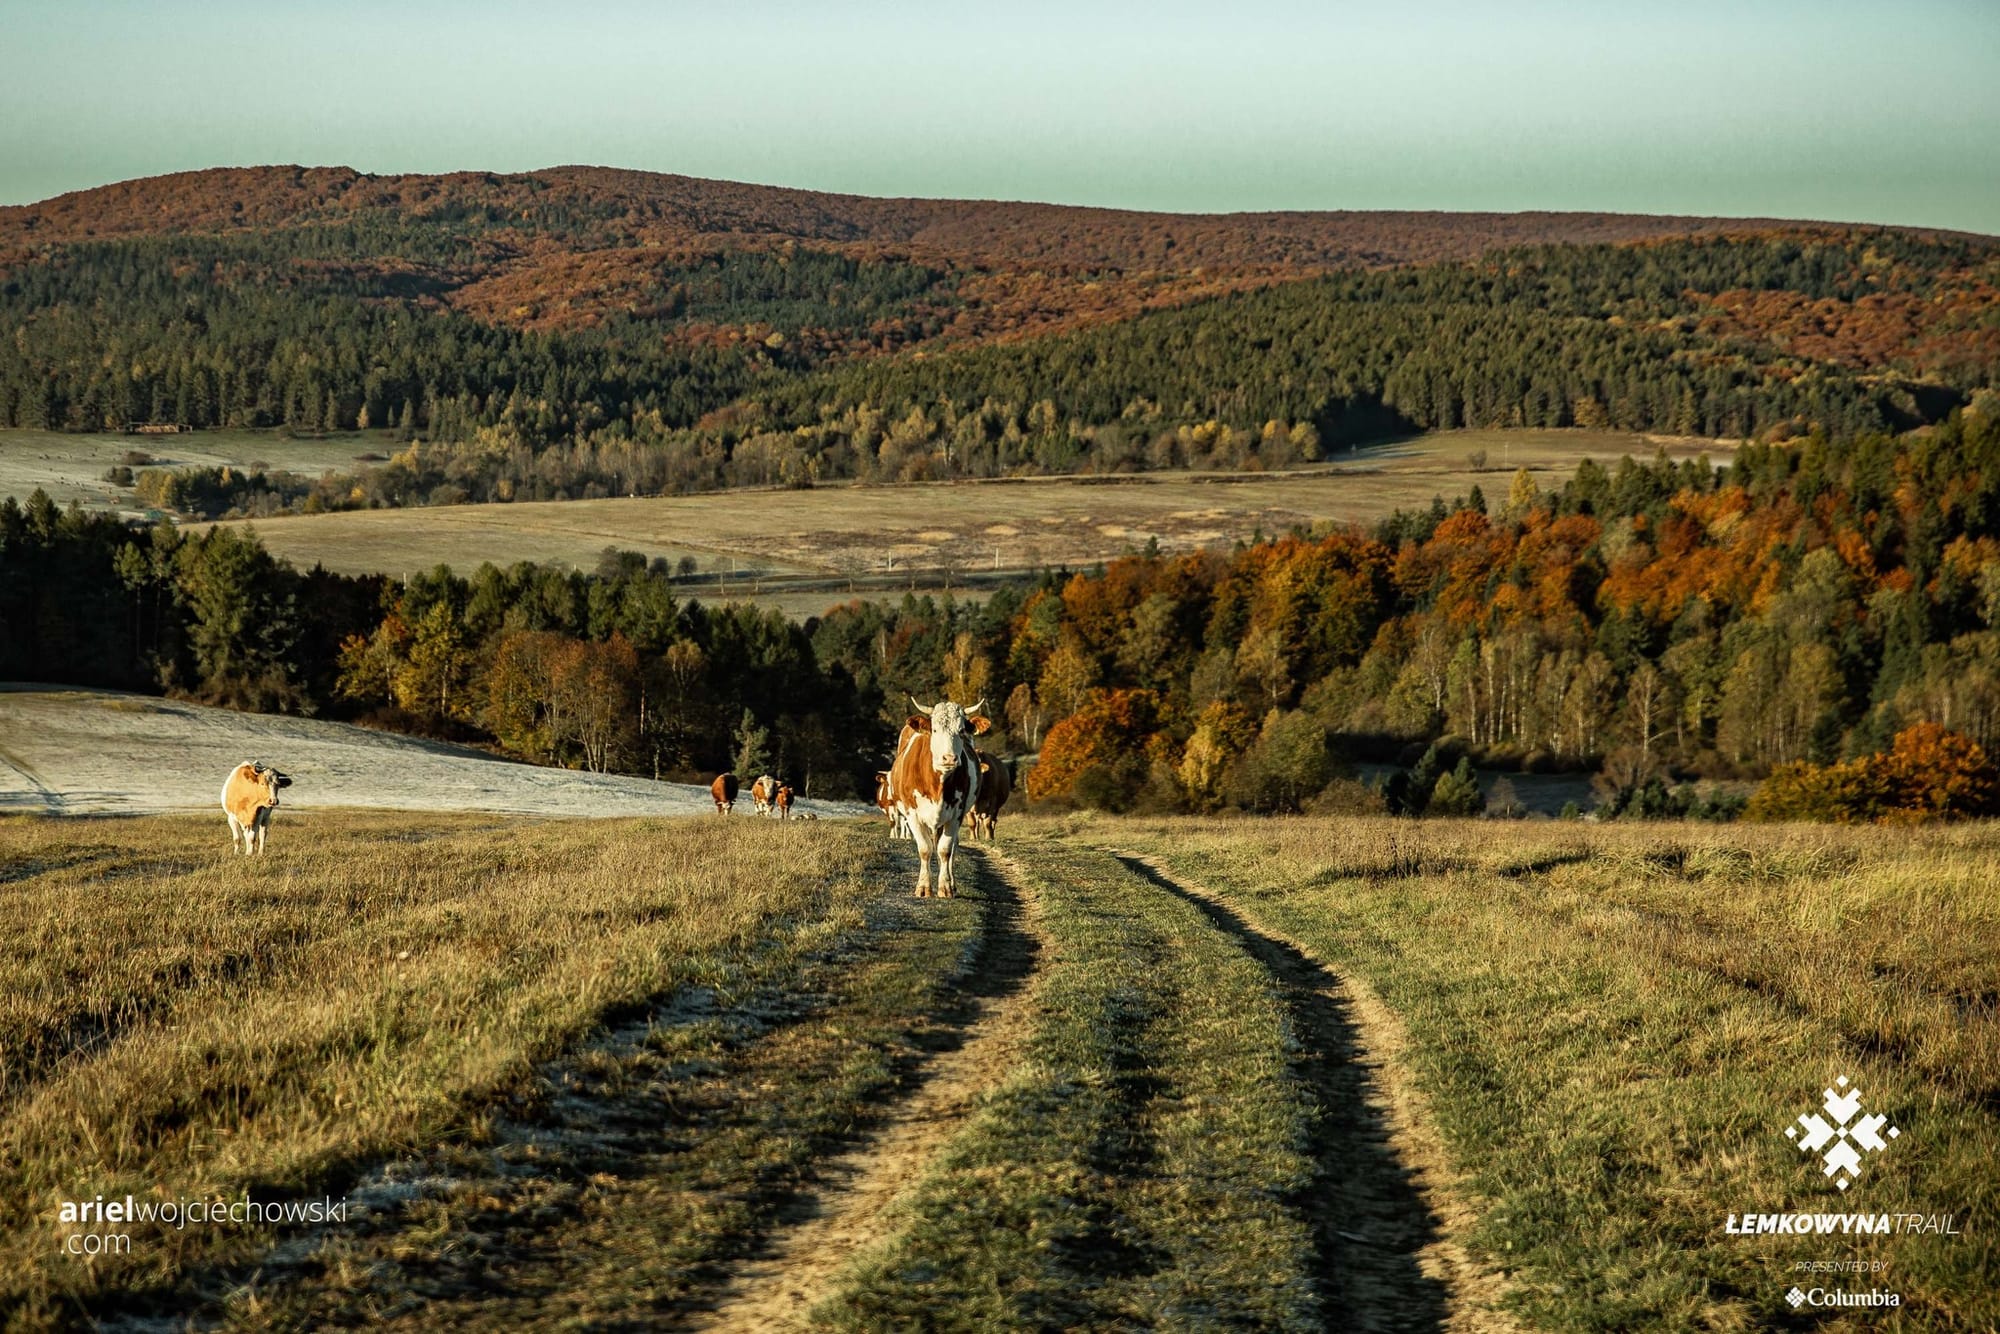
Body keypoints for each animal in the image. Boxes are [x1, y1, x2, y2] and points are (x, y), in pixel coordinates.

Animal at [896, 700, 988, 896]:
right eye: (935, 729)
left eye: (961, 730)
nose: (949, 758)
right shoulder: (912, 814)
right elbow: (924, 849)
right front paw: (923, 887)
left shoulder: (956, 814)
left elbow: (945, 850)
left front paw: (945, 887)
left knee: (951, 847)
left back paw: (951, 882)